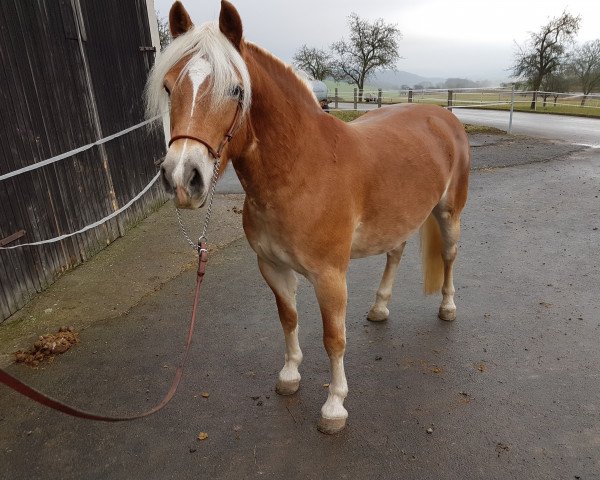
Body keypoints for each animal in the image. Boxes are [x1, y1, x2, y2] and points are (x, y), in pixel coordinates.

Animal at [145, 0, 468, 436]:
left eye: (236, 89)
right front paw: (290, 376)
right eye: (168, 86)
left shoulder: (330, 276)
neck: (302, 170)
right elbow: (288, 318)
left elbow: (334, 338)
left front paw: (334, 406)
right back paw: (380, 308)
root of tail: (443, 116)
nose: (183, 177)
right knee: (395, 253)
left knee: (449, 256)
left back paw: (447, 307)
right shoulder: (272, 267)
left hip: (449, 213)